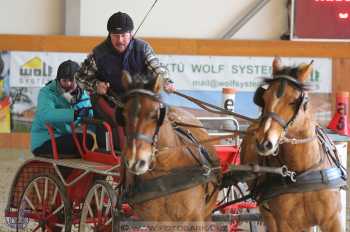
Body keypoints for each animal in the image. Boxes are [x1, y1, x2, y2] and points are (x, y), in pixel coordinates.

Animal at [117, 71, 221, 230]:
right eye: (123, 115)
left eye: (155, 115)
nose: (135, 161)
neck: (166, 168)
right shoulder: (155, 223)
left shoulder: (196, 218)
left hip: (206, 214)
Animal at [239, 56, 346, 232]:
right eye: (264, 97)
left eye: (295, 101)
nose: (264, 142)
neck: (303, 172)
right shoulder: (285, 223)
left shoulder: (333, 220)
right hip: (268, 214)